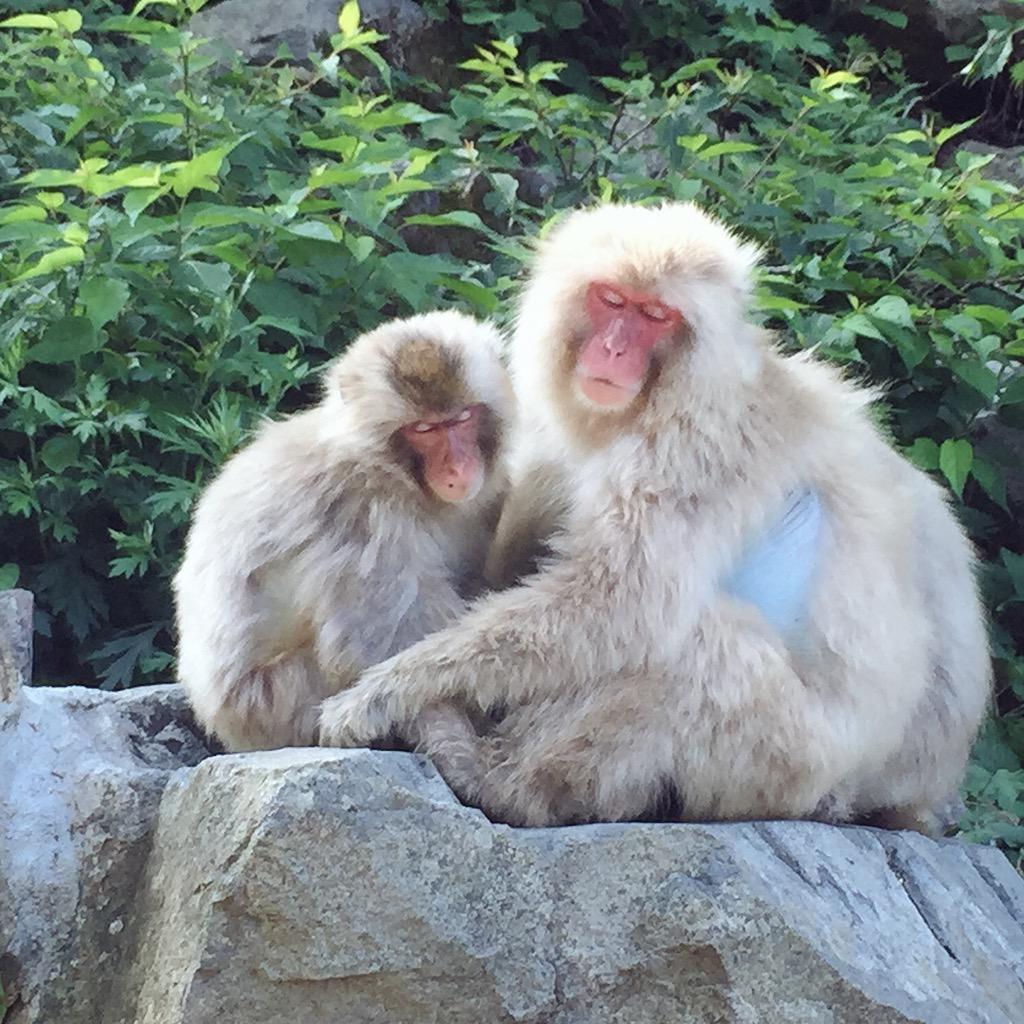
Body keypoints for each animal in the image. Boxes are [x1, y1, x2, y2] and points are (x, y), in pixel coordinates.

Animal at [173, 310, 512, 752]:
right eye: (423, 430)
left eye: (462, 418)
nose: (457, 468)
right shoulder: (362, 516)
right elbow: (372, 644)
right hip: (272, 701)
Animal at [318, 202, 991, 834]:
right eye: (613, 300)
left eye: (655, 316)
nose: (615, 349)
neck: (661, 396)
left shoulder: (694, 447)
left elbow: (619, 603)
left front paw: (387, 692)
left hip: (792, 764)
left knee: (696, 652)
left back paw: (505, 786)